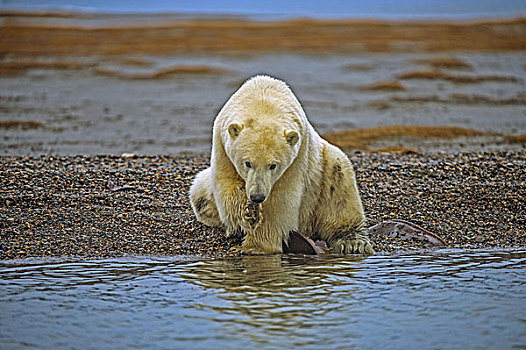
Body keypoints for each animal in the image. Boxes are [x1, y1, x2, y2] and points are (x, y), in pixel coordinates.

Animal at [192, 75, 374, 254]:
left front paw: (256, 247)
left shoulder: (297, 158)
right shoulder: (222, 147)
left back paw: (352, 242)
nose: (257, 196)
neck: (263, 98)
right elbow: (227, 186)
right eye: (247, 163)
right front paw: (250, 213)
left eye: (273, 165)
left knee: (340, 189)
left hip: (323, 169)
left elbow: (279, 202)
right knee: (199, 195)